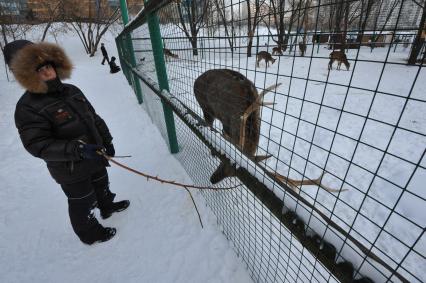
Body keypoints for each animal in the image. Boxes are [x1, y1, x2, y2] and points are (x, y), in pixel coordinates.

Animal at [194, 69, 340, 193]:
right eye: (223, 162)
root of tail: (196, 79)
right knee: (207, 123)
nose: (212, 180)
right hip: (205, 106)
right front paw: (214, 151)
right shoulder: (226, 122)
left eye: (234, 175)